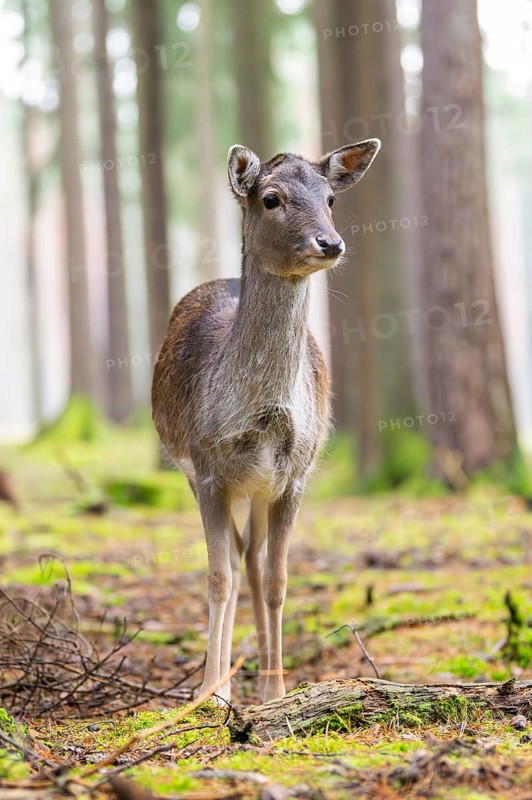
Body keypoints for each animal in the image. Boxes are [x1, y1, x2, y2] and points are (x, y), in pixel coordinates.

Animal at [151, 138, 381, 704]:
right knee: (237, 562)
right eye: (271, 198)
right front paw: (211, 692)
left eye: (331, 198)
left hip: (259, 487)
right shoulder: (208, 468)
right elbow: (217, 576)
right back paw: (224, 678)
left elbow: (278, 580)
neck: (261, 414)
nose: (330, 243)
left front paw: (276, 691)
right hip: (205, 476)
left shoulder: (294, 475)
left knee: (254, 561)